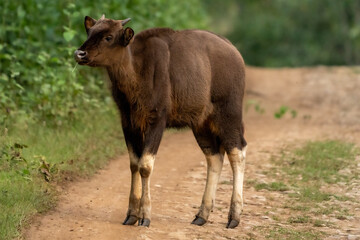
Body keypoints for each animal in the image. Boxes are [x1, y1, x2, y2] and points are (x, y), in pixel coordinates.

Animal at [74, 15, 248, 229]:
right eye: (90, 33)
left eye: (108, 37)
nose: (80, 53)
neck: (137, 73)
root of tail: (235, 53)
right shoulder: (128, 121)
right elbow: (134, 164)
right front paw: (132, 215)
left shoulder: (157, 119)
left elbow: (145, 165)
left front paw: (145, 216)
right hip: (201, 123)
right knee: (214, 157)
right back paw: (202, 215)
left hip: (229, 114)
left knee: (237, 152)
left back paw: (234, 217)